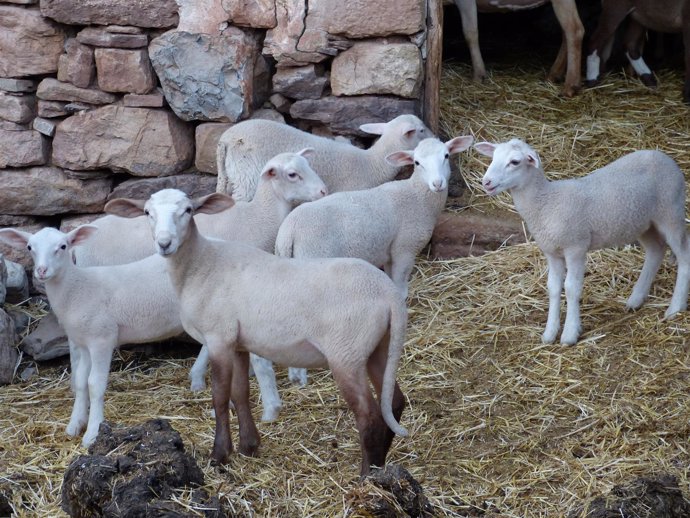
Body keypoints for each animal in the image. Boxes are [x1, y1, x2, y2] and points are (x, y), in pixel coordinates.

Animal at [106, 189, 408, 478]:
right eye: (147, 212)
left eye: (188, 210)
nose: (164, 243)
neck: (200, 265)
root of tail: (388, 292)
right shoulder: (238, 343)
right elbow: (240, 393)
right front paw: (248, 447)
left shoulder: (219, 338)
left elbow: (220, 396)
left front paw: (219, 455)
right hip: (376, 346)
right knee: (394, 402)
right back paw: (381, 467)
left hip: (346, 352)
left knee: (369, 414)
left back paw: (366, 476)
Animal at [215, 115, 430, 202]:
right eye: (421, 130)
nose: (435, 136)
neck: (371, 163)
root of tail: (226, 140)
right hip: (247, 178)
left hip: (229, 177)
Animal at [472, 140, 688, 348]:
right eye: (493, 157)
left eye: (515, 162)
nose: (486, 182)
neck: (545, 203)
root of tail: (663, 155)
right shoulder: (552, 252)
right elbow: (553, 287)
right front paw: (549, 334)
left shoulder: (575, 247)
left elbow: (571, 288)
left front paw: (569, 334)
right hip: (643, 223)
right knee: (655, 251)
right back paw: (636, 299)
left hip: (671, 211)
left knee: (684, 255)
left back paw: (675, 308)